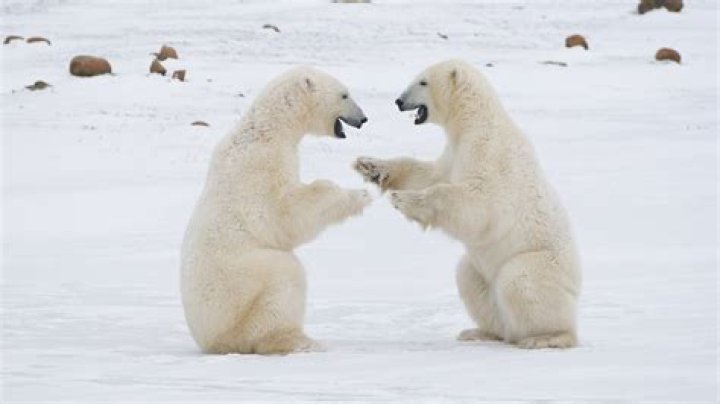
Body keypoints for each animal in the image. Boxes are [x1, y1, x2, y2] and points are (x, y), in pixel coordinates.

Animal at [181, 66, 371, 354]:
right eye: (344, 94)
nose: (363, 118)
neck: (267, 130)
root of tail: (212, 341)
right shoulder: (264, 166)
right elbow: (286, 216)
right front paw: (360, 195)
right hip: (246, 288)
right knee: (285, 280)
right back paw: (300, 340)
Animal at [354, 59, 581, 349]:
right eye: (417, 77)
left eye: (423, 81)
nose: (398, 101)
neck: (475, 120)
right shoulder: (454, 153)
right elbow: (429, 174)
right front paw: (371, 166)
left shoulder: (488, 152)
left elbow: (479, 203)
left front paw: (405, 200)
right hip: (480, 271)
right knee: (468, 278)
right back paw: (481, 332)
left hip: (538, 262)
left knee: (520, 281)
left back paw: (545, 337)